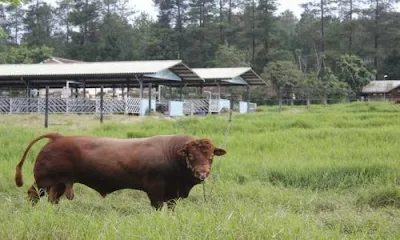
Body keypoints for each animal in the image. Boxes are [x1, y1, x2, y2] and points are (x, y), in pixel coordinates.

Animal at [15, 132, 227, 209]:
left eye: (211, 157)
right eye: (190, 156)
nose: (202, 173)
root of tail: (58, 137)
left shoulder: (172, 195)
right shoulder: (156, 190)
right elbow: (158, 207)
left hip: (58, 184)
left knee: (53, 199)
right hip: (45, 182)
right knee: (33, 194)